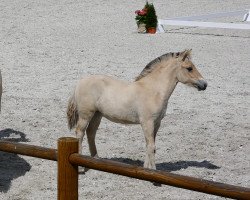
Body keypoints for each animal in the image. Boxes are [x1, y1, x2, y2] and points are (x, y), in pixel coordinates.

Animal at [66, 49, 207, 170]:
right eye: (189, 68)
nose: (204, 84)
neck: (153, 90)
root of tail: (80, 82)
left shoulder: (156, 123)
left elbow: (149, 144)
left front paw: (146, 167)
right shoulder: (147, 122)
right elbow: (151, 146)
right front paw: (153, 171)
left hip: (97, 114)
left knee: (91, 133)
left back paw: (95, 159)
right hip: (86, 115)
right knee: (80, 133)